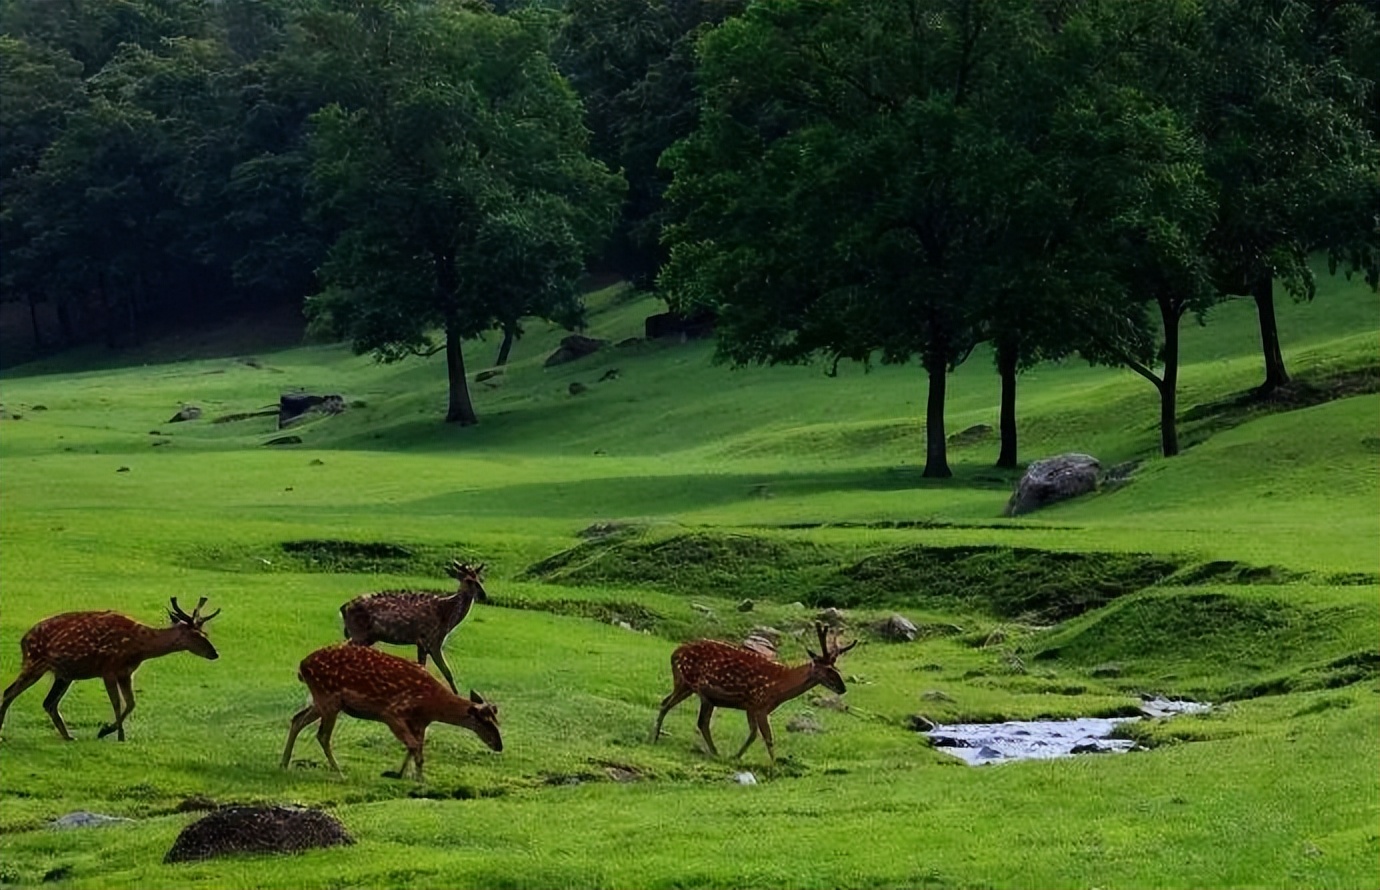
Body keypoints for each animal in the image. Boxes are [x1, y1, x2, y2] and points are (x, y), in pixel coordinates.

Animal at [0, 596, 218, 745]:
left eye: (205, 633)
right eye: (196, 635)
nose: (215, 653)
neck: (139, 648)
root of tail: (24, 640)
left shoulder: (126, 672)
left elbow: (131, 703)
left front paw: (114, 733)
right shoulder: (108, 668)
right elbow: (117, 704)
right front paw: (111, 733)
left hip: (64, 674)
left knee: (49, 703)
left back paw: (69, 736)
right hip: (34, 662)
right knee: (9, 692)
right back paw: (2, 734)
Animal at [280, 643, 502, 783]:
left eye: (497, 721)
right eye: (485, 722)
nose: (499, 746)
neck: (431, 705)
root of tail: (301, 667)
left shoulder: (420, 723)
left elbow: (416, 747)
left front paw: (403, 775)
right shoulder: (392, 712)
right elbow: (414, 747)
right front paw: (419, 781)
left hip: (322, 701)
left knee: (297, 719)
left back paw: (284, 763)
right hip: (329, 699)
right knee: (322, 735)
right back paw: (340, 773)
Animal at [339, 554, 491, 695]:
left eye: (481, 579)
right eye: (468, 580)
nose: (483, 595)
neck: (447, 618)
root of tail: (343, 608)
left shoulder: (423, 643)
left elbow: (431, 670)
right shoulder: (430, 640)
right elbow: (446, 672)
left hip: (367, 637)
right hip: (358, 633)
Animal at [651, 620, 855, 761]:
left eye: (836, 668)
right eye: (827, 670)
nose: (843, 688)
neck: (780, 687)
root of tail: (674, 654)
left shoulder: (751, 706)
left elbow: (753, 734)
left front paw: (737, 756)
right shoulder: (760, 703)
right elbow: (768, 737)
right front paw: (774, 765)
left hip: (694, 690)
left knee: (676, 708)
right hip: (689, 684)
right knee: (680, 711)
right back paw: (657, 738)